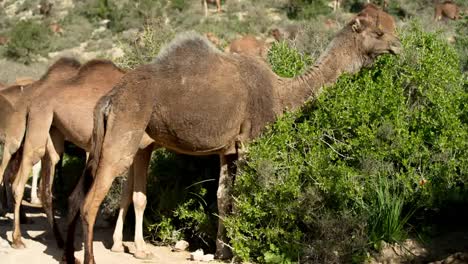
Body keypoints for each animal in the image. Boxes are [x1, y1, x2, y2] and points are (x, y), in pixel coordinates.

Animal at [66, 15, 400, 262]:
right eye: (380, 31)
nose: (399, 46)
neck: (281, 94)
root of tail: (108, 99)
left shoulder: (228, 150)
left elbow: (223, 197)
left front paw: (223, 252)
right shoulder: (251, 143)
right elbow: (241, 198)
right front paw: (239, 253)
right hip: (124, 133)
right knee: (91, 201)